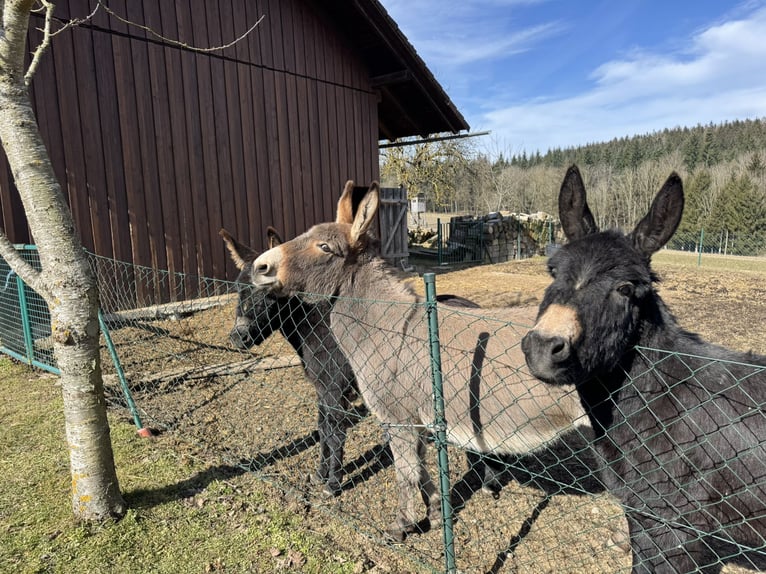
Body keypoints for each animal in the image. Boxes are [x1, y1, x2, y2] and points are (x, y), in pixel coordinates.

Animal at [246, 180, 589, 541]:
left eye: (324, 247)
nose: (260, 267)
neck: (387, 326)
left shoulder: (397, 417)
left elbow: (406, 472)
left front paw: (401, 526)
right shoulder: (418, 420)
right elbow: (422, 470)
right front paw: (437, 514)